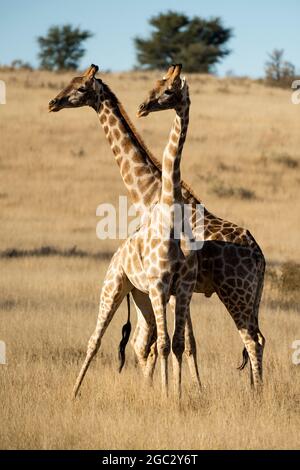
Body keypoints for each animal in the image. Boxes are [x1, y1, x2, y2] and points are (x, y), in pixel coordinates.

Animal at [48, 65, 264, 390]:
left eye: (81, 88)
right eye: (69, 82)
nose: (53, 102)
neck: (148, 194)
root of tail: (260, 256)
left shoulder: (171, 287)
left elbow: (176, 344)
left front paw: (186, 389)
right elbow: (173, 343)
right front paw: (185, 388)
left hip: (235, 292)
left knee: (251, 341)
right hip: (251, 298)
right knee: (258, 339)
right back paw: (256, 392)